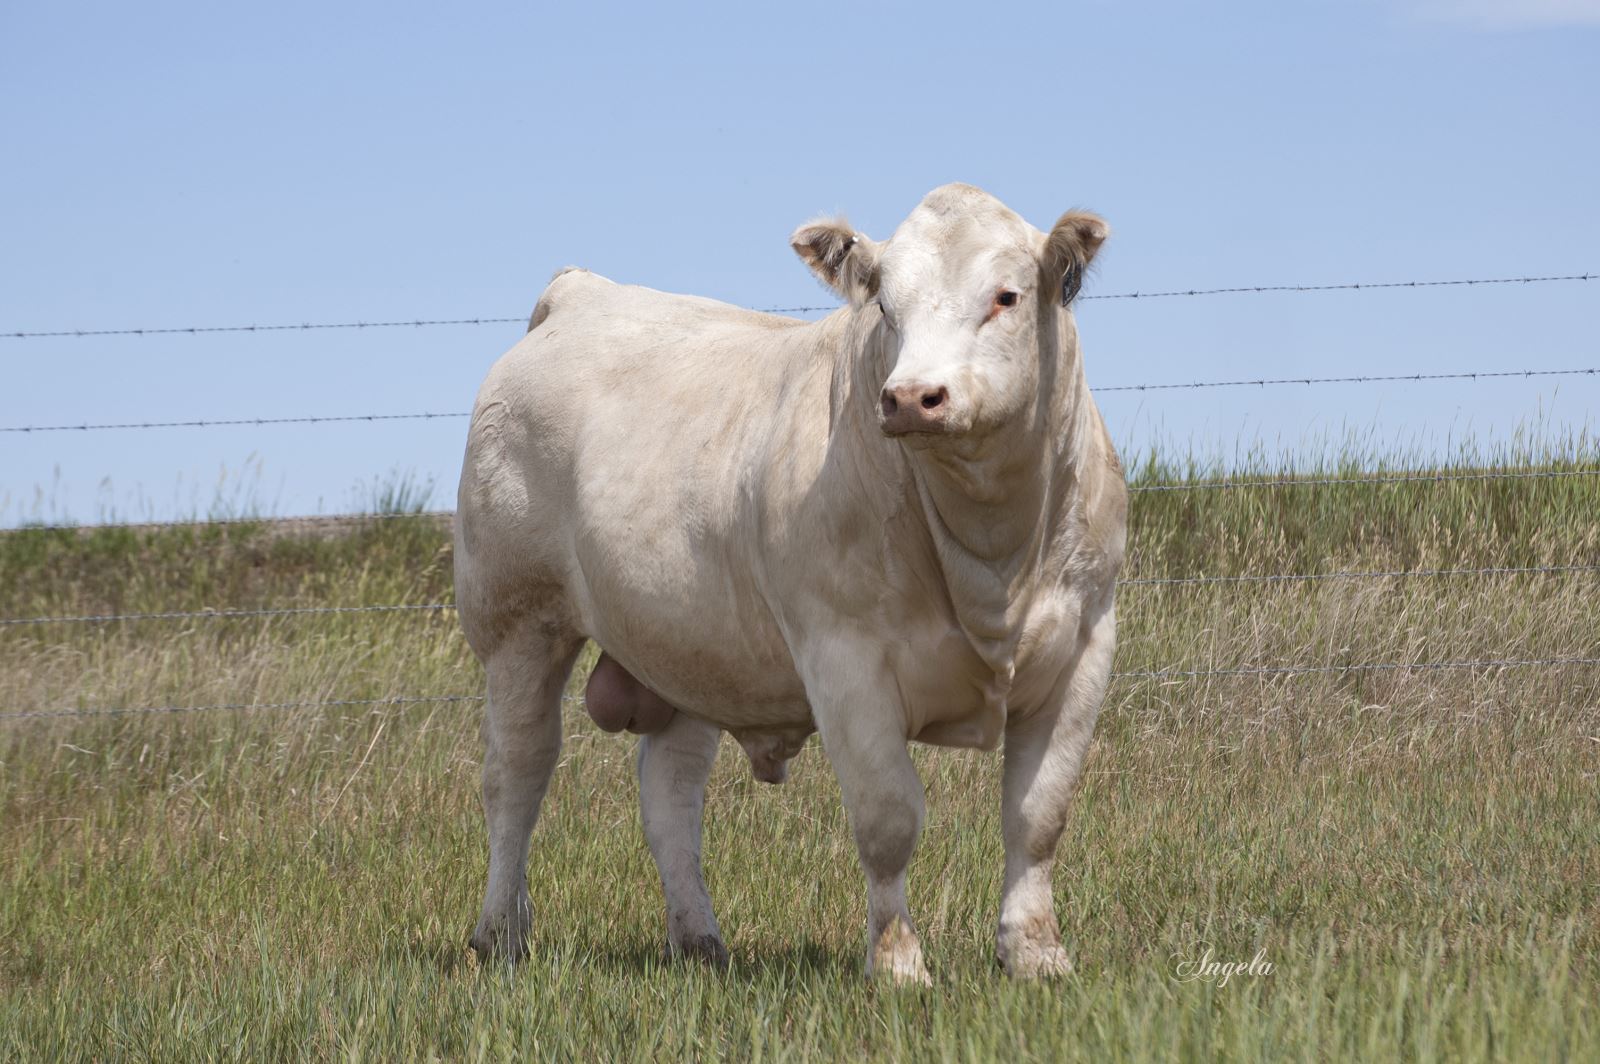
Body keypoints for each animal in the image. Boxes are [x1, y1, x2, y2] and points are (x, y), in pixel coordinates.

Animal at [454, 183, 1126, 983]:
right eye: (884, 305)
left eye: (1006, 296)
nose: (911, 397)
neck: (992, 553)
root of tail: (583, 291)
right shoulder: (846, 658)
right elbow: (889, 817)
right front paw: (898, 965)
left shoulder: (1085, 648)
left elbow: (1038, 815)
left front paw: (1036, 956)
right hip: (516, 621)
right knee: (516, 774)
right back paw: (499, 934)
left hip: (695, 646)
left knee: (670, 790)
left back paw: (699, 941)